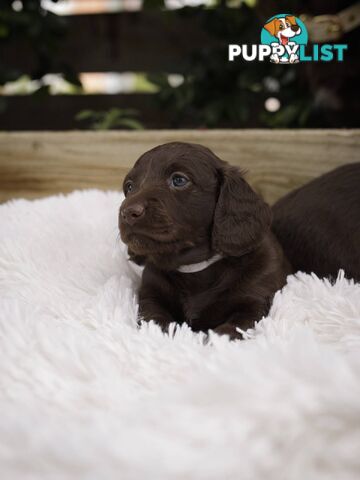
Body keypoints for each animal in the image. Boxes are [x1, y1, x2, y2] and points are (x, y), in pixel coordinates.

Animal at [119, 141, 290, 340]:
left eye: (179, 180)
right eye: (129, 187)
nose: (127, 213)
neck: (193, 269)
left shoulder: (254, 301)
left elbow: (234, 327)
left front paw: (214, 340)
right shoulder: (151, 295)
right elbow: (153, 318)